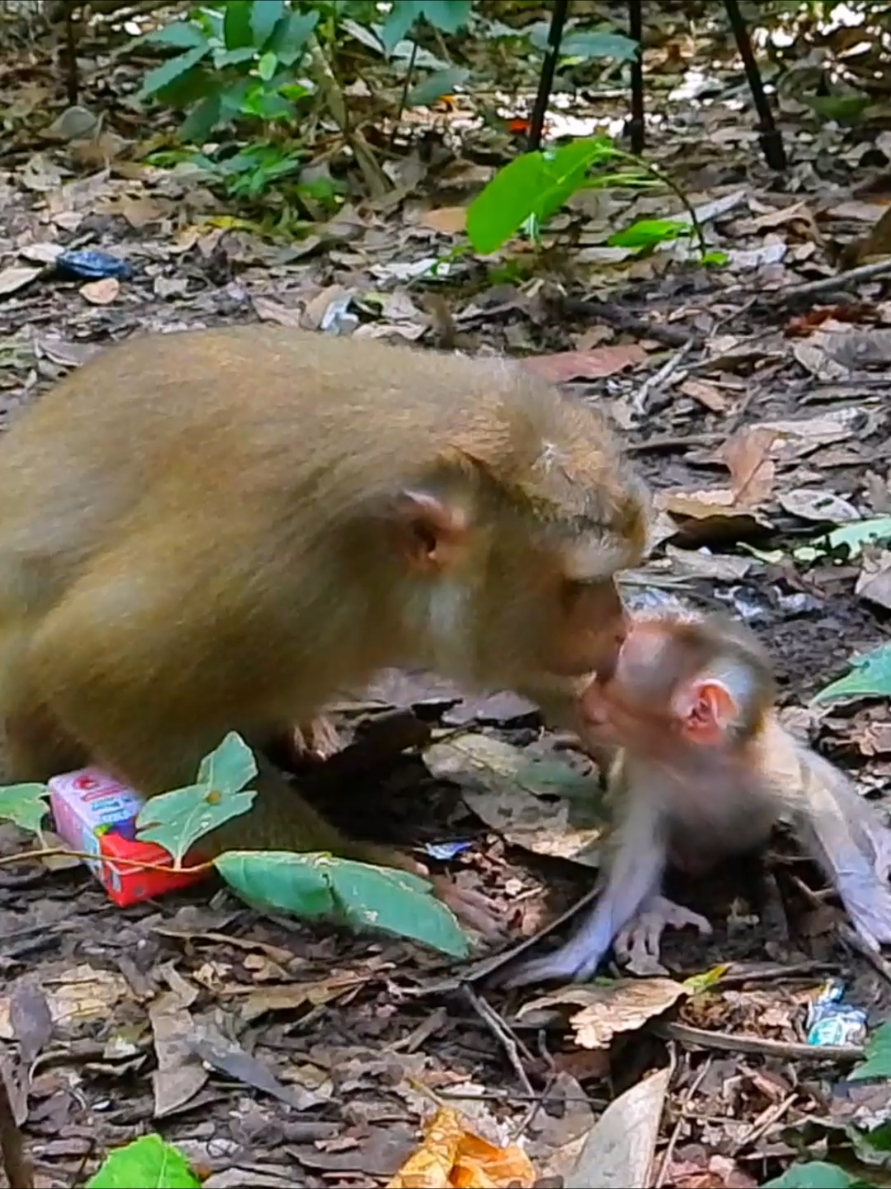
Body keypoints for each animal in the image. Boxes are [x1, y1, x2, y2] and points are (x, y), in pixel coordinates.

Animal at [506, 604, 891, 984]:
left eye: (605, 684)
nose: (583, 697)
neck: (697, 762)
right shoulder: (645, 776)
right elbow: (636, 856)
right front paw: (578, 951)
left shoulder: (768, 762)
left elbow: (815, 799)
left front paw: (866, 903)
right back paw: (652, 910)